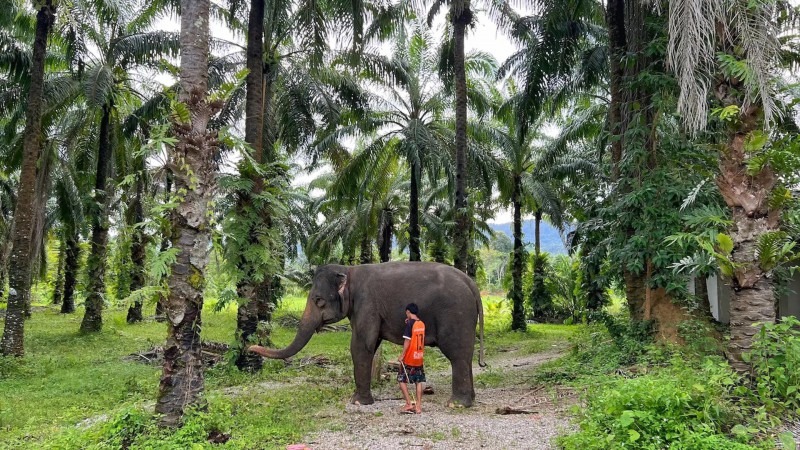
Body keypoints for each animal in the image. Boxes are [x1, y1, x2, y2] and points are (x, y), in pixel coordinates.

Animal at [252, 260, 488, 408]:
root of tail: (471, 283)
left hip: (456, 314)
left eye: (319, 301)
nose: (250, 347)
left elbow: (361, 345)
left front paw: (356, 402)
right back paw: (469, 400)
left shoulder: (366, 304)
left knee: (456, 355)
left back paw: (455, 404)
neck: (349, 270)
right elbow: (369, 345)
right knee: (465, 355)